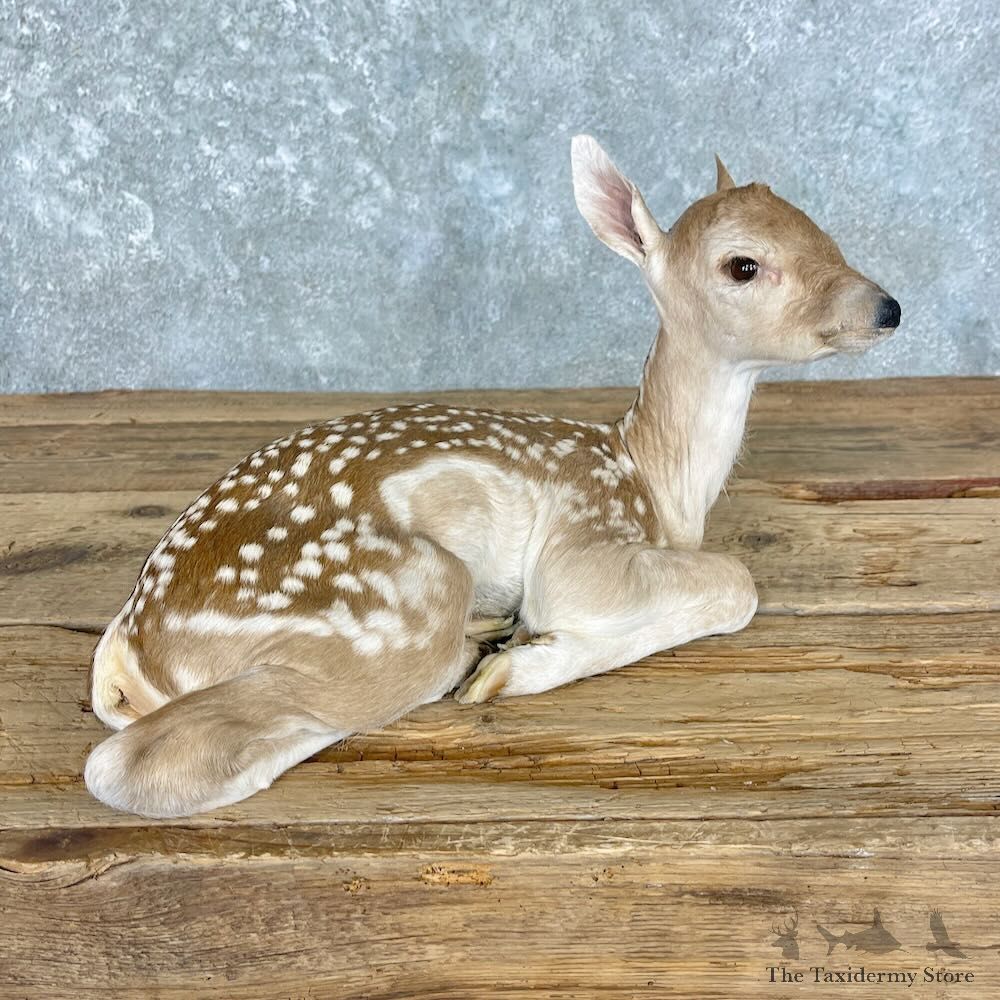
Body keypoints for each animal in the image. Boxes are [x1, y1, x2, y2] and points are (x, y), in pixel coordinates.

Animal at [84, 135, 901, 817]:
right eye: (744, 264)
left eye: (822, 230)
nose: (888, 308)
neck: (652, 481)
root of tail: (135, 639)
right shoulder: (586, 541)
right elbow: (735, 584)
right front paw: (524, 661)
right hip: (398, 603)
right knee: (135, 761)